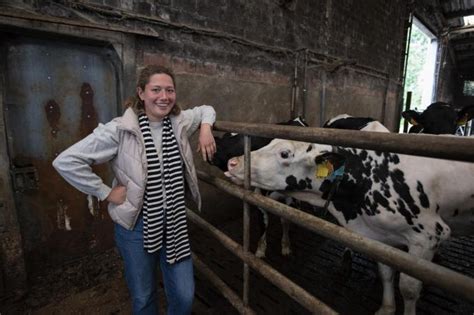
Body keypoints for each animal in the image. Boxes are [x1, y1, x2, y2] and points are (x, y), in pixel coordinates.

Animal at [225, 135, 474, 314]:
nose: (233, 161)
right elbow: (386, 272)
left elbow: (409, 288)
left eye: (285, 153)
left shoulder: (428, 236)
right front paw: (386, 308)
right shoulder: (381, 238)